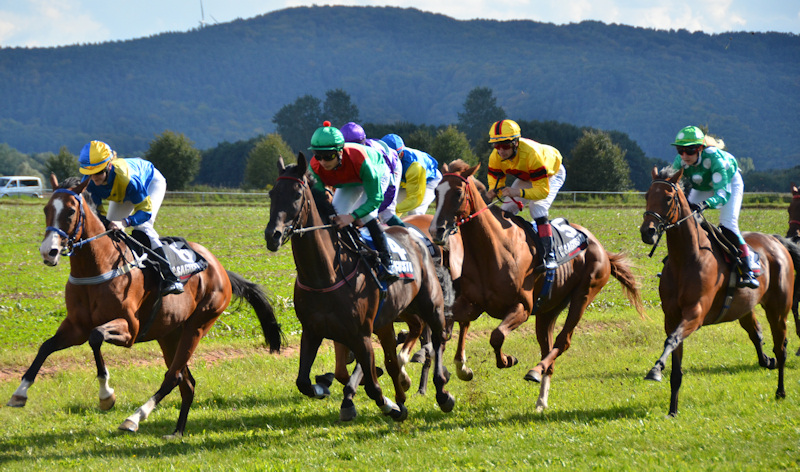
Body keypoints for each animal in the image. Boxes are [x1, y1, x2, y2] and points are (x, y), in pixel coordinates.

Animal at [4, 174, 282, 438]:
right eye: (46, 209)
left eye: (71, 211)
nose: (48, 251)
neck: (98, 265)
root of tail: (221, 269)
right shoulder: (76, 327)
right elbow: (46, 347)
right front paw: (19, 393)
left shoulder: (130, 329)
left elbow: (96, 337)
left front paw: (106, 395)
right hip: (170, 334)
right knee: (186, 381)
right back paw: (177, 432)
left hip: (198, 326)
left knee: (173, 377)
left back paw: (134, 418)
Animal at [264, 153, 456, 422]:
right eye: (272, 193)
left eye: (296, 194)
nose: (273, 235)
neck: (325, 275)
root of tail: (416, 236)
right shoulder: (312, 331)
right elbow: (304, 381)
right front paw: (324, 386)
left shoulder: (360, 334)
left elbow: (373, 386)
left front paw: (386, 404)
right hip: (389, 318)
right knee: (395, 356)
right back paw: (402, 394)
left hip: (431, 305)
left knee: (437, 341)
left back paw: (441, 391)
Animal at [432, 160, 644, 412]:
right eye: (435, 192)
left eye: (457, 193)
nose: (436, 230)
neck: (492, 249)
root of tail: (600, 247)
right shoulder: (470, 303)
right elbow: (452, 327)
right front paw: (462, 369)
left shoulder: (522, 307)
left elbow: (496, 336)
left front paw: (507, 360)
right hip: (548, 310)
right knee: (548, 345)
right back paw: (541, 400)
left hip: (584, 295)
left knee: (563, 341)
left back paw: (535, 370)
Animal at [636, 167, 792, 416]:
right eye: (647, 195)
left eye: (668, 197)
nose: (647, 232)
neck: (686, 259)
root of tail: (777, 241)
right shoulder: (671, 317)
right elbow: (675, 359)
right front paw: (672, 409)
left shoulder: (695, 313)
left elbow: (672, 340)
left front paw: (655, 370)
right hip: (745, 308)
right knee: (756, 333)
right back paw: (767, 361)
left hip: (778, 310)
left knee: (781, 347)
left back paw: (780, 391)